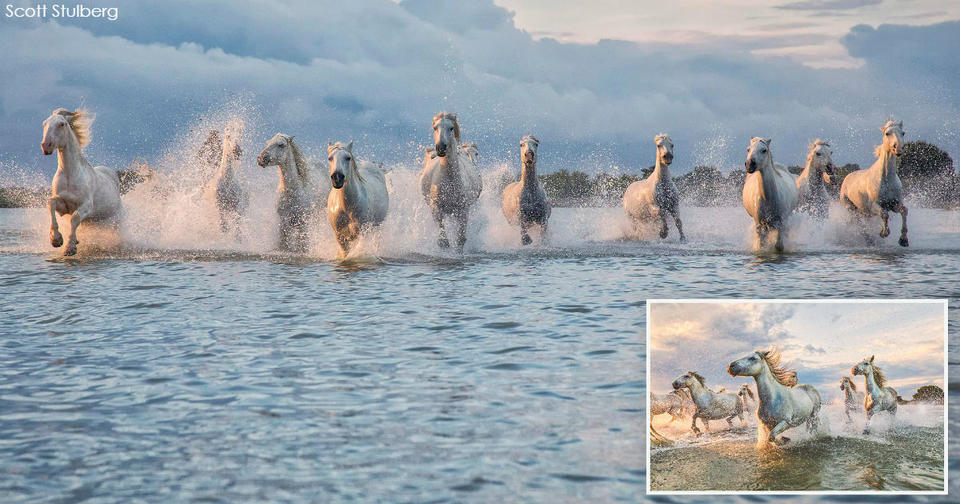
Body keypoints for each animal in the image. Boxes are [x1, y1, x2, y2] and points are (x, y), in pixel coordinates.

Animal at [40, 107, 122, 256]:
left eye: (62, 124)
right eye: (44, 123)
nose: (46, 146)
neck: (70, 174)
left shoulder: (86, 206)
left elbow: (75, 218)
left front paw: (69, 247)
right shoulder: (63, 204)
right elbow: (51, 204)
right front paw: (56, 240)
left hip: (115, 218)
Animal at [418, 111, 484, 250]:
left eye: (451, 128)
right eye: (435, 128)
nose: (440, 148)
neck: (449, 180)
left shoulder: (463, 210)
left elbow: (460, 239)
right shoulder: (436, 209)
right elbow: (443, 241)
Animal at [840, 116, 908, 246]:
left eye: (903, 133)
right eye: (887, 133)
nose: (898, 148)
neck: (886, 179)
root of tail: (846, 178)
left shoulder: (893, 203)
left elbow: (904, 210)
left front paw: (903, 240)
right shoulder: (875, 205)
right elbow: (884, 214)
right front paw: (884, 233)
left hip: (864, 212)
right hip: (852, 209)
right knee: (860, 224)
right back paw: (869, 240)